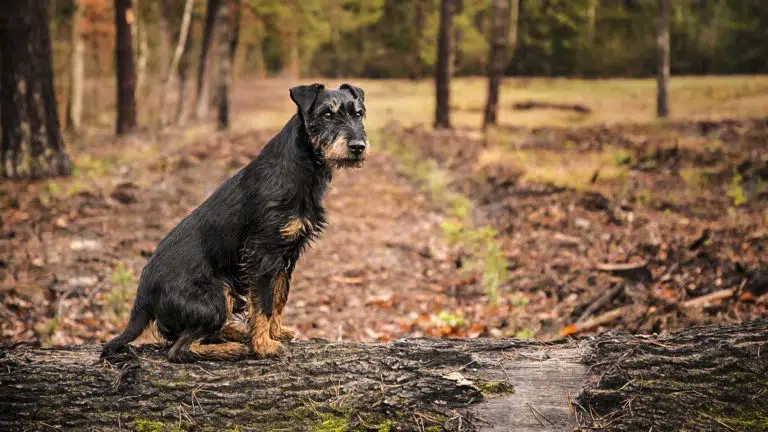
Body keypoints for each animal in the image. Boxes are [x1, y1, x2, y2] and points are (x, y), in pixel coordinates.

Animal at [101, 83, 368, 362]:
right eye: (327, 114)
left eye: (359, 113)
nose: (358, 146)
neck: (301, 168)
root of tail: (142, 299)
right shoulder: (262, 254)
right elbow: (263, 304)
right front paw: (263, 345)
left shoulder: (287, 255)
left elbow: (279, 297)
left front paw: (274, 333)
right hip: (217, 295)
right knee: (179, 348)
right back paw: (232, 347)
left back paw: (237, 334)